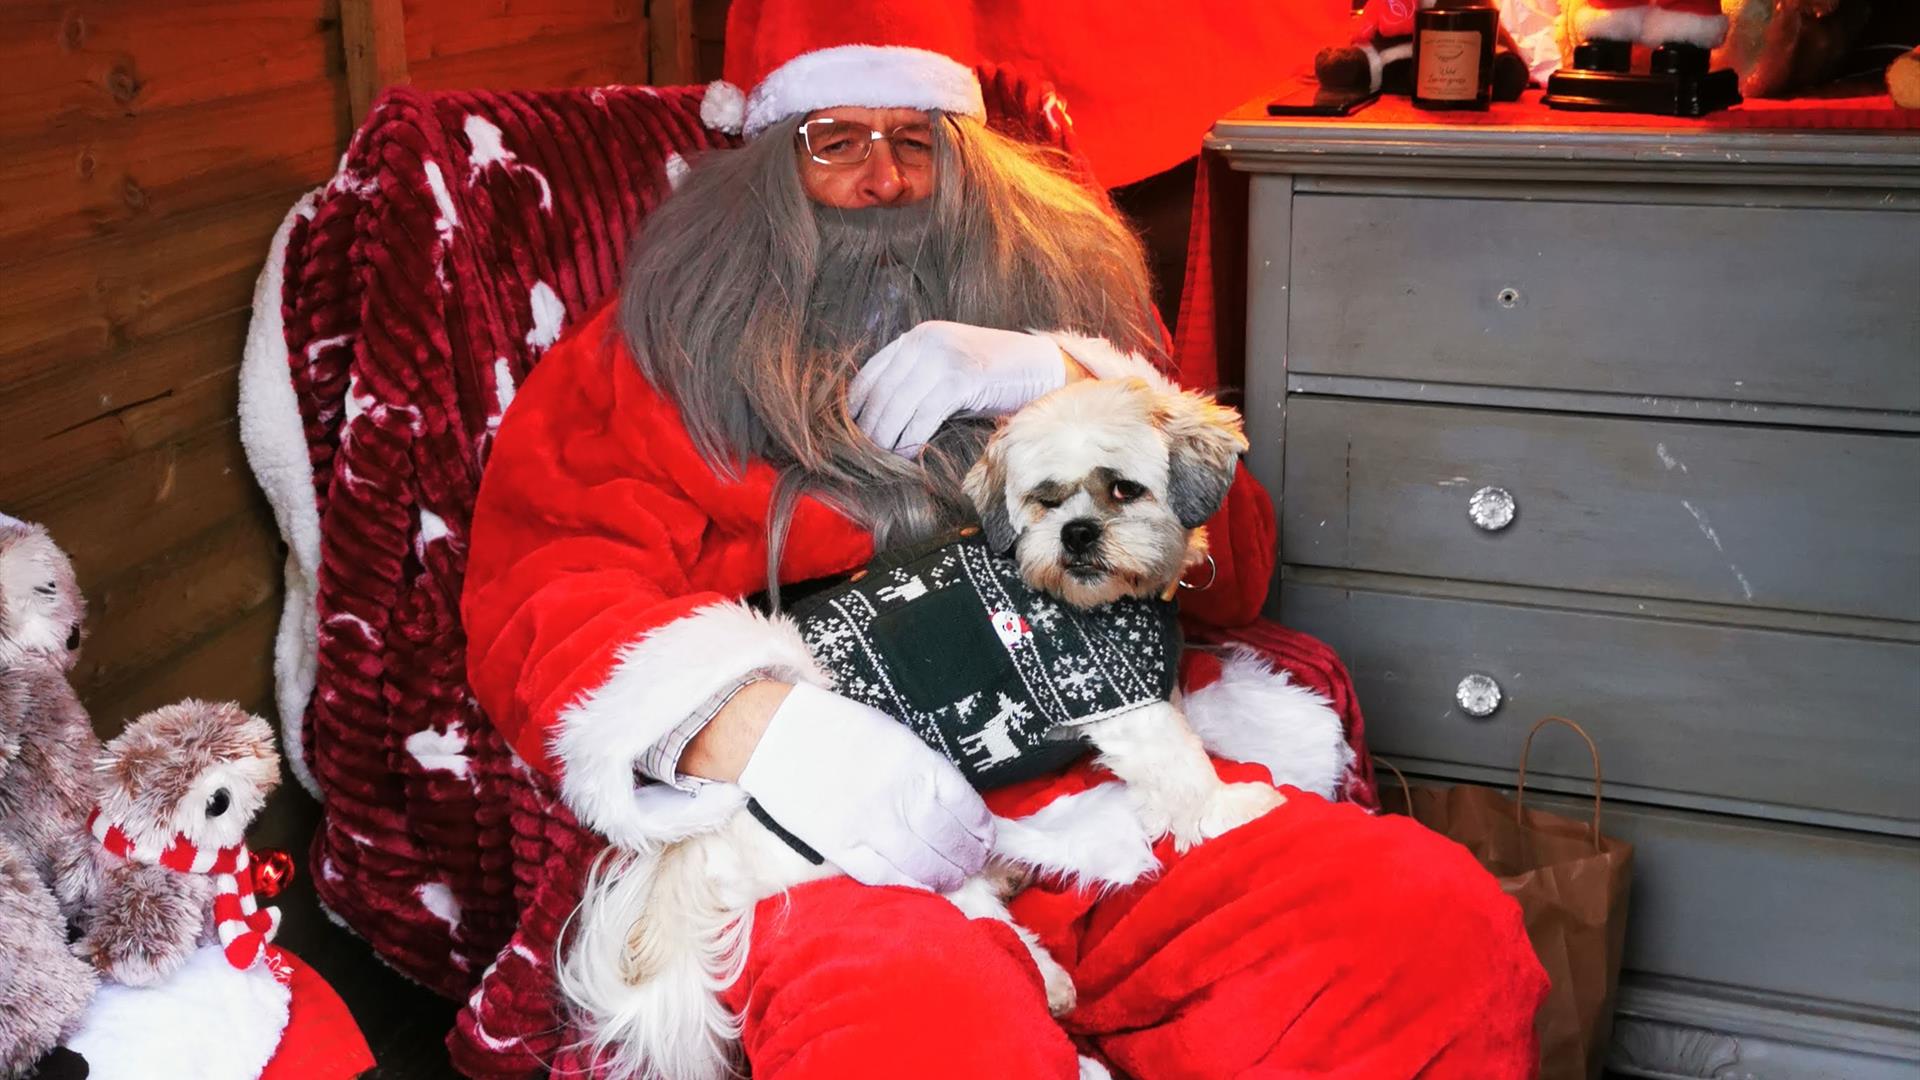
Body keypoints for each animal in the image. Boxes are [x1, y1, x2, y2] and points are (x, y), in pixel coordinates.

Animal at [560, 374, 1290, 1068]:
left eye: (1124, 489)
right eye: (1045, 501)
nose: (1077, 534)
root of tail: (703, 843)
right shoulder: (1114, 697)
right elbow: (1181, 768)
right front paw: (1229, 806)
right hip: (898, 839)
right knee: (969, 908)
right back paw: (1043, 968)